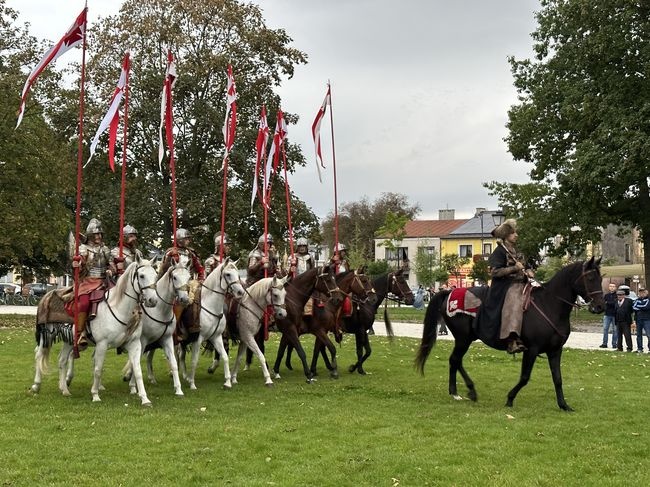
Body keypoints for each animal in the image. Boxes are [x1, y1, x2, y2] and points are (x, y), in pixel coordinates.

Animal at [32, 262, 159, 406]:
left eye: (156, 275)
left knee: (62, 360)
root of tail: (46, 296)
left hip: (68, 341)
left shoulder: (134, 344)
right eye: (141, 275)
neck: (119, 308)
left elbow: (137, 371)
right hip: (47, 335)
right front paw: (95, 395)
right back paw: (36, 385)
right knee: (39, 354)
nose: (152, 300)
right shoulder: (102, 344)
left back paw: (64, 389)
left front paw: (145, 399)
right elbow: (98, 369)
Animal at [123, 264, 190, 396]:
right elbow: (137, 361)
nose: (184, 299)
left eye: (189, 277)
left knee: (149, 357)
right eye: (175, 277)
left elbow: (174, 363)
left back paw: (151, 379)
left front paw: (178, 389)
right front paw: (133, 386)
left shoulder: (167, 339)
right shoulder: (142, 341)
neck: (160, 310)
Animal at [178, 262, 244, 390]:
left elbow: (225, 357)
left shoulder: (216, 337)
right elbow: (194, 361)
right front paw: (192, 384)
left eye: (238, 274)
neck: (210, 307)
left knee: (181, 355)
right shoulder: (198, 339)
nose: (240, 292)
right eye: (228, 274)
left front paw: (227, 382)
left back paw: (185, 376)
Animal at [416, 260, 604, 412]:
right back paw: (459, 392)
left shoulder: (555, 351)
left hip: (466, 339)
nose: (600, 306)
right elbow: (525, 377)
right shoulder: (532, 349)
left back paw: (466, 391)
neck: (549, 304)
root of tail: (449, 293)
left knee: (456, 361)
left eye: (600, 278)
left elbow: (557, 379)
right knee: (455, 359)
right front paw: (510, 399)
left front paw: (563, 405)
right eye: (590, 278)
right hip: (463, 339)